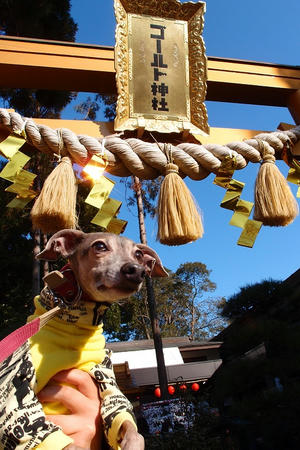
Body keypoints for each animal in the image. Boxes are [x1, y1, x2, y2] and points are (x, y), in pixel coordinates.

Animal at [0, 230, 169, 448]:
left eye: (139, 254)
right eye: (100, 246)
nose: (136, 271)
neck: (76, 327)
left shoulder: (105, 377)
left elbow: (127, 423)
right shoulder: (13, 388)